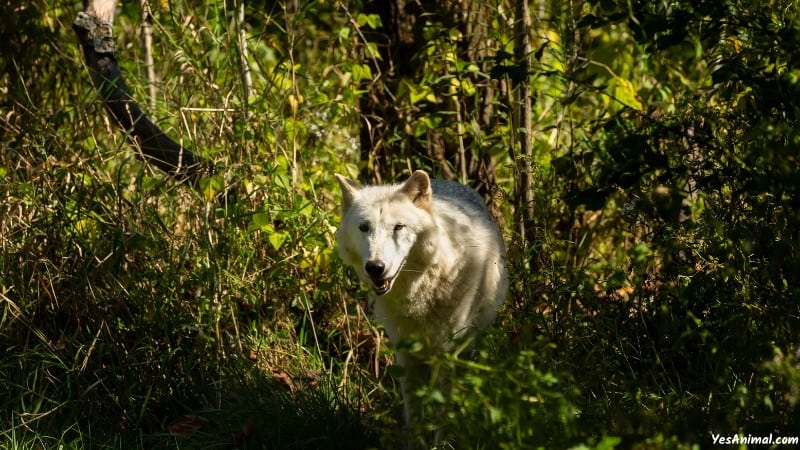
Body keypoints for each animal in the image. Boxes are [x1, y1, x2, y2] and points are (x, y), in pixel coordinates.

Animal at [334, 170, 510, 446]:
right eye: (364, 227)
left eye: (398, 227)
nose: (375, 267)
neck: (419, 292)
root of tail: (446, 180)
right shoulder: (405, 352)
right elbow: (415, 413)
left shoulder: (448, 353)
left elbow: (442, 413)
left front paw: (442, 444)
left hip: (466, 345)